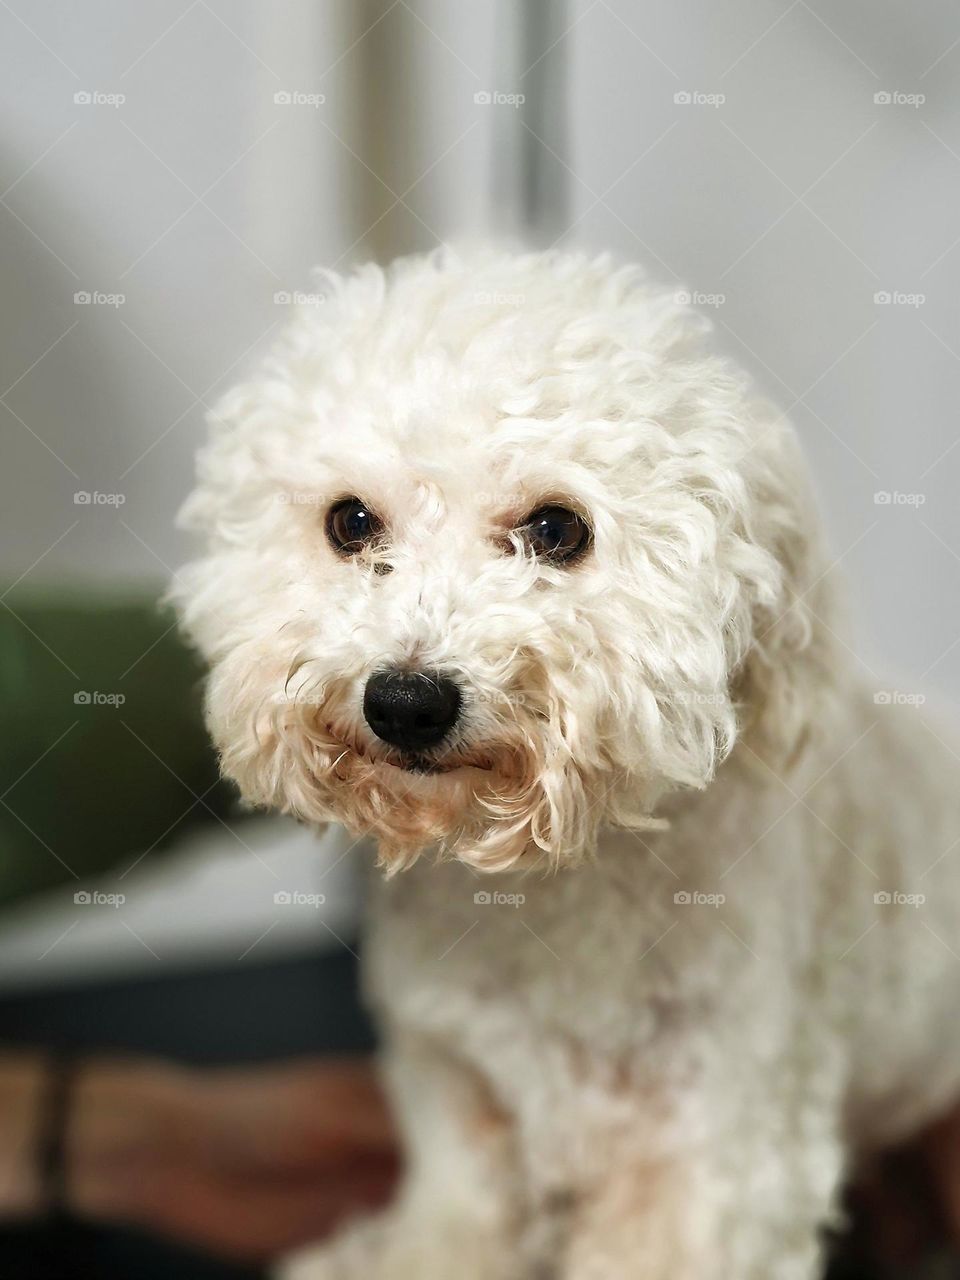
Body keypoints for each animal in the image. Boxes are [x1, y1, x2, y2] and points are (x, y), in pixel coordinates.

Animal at [175, 249, 960, 1280]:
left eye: (556, 530)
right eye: (351, 523)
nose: (406, 700)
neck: (546, 894)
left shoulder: (718, 1160)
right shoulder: (459, 1105)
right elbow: (449, 1231)